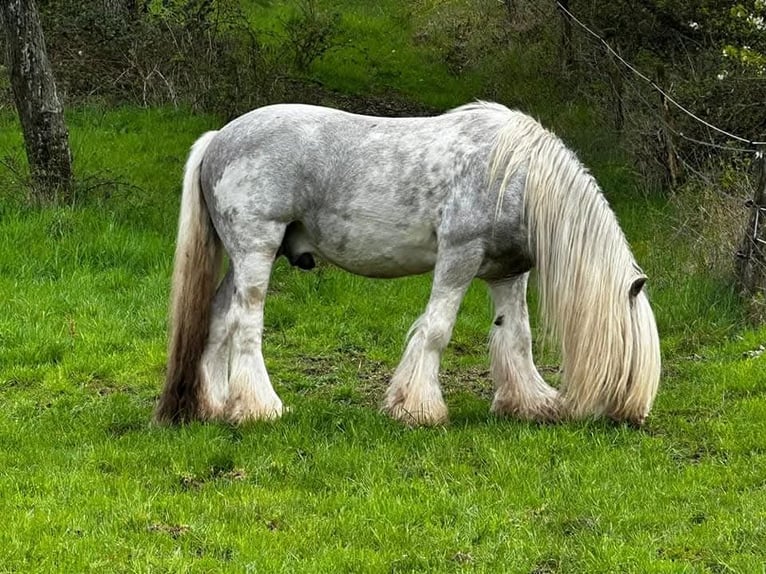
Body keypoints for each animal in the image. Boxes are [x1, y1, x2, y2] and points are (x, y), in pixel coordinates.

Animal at [154, 102, 660, 428]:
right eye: (630, 357)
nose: (633, 416)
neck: (514, 175)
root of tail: (218, 139)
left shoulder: (507, 272)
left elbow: (517, 337)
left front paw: (530, 404)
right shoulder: (459, 255)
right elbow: (436, 330)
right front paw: (416, 409)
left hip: (243, 260)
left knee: (218, 319)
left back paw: (215, 407)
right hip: (256, 250)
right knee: (245, 324)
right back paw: (260, 409)